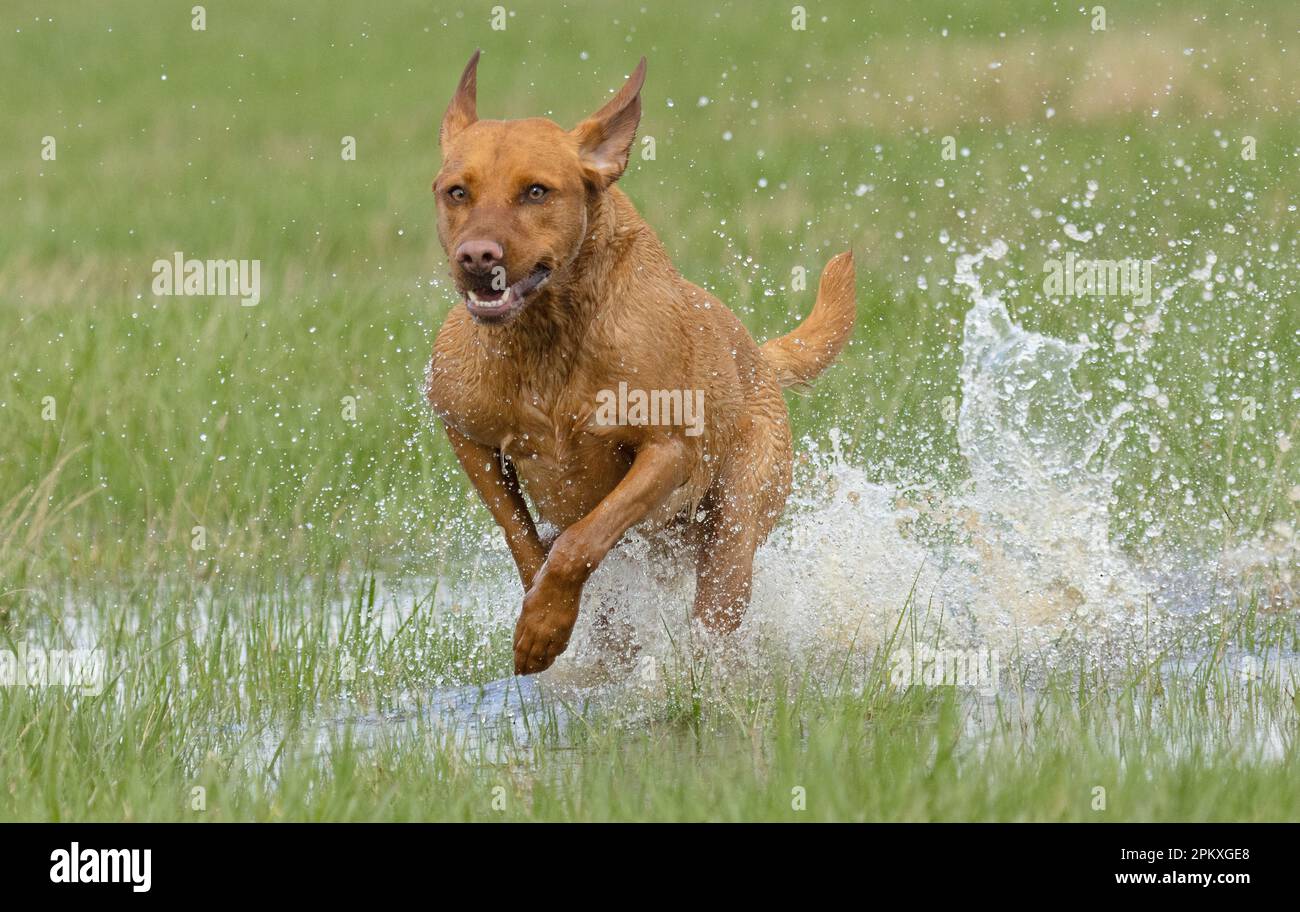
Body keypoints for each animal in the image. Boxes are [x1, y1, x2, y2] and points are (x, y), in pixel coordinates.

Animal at [426, 53, 852, 675]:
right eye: (457, 192)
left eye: (536, 191)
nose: (477, 257)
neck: (547, 340)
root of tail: (757, 355)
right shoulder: (466, 434)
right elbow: (526, 542)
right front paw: (544, 620)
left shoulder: (667, 450)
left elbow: (579, 541)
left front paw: (543, 624)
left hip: (734, 530)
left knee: (716, 608)